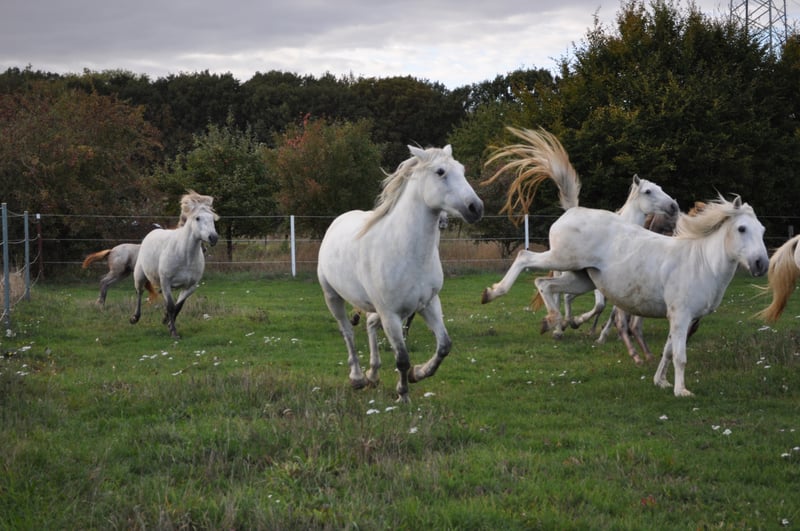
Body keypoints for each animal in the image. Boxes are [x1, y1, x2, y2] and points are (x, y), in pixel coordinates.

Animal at [130, 191, 219, 338]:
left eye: (212, 218)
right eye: (197, 218)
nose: (213, 238)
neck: (185, 257)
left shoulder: (190, 286)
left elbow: (178, 306)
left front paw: (166, 320)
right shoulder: (166, 282)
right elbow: (171, 306)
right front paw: (174, 332)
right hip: (140, 276)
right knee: (139, 293)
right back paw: (134, 318)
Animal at [318, 145, 483, 403]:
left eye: (462, 169)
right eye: (440, 172)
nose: (476, 208)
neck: (406, 250)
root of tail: (337, 221)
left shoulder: (428, 303)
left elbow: (444, 346)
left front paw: (419, 373)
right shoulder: (391, 315)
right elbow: (402, 358)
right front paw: (403, 395)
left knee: (369, 325)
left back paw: (373, 375)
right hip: (332, 296)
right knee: (348, 332)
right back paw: (357, 378)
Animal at [481, 128, 768, 396]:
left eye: (763, 230)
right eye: (742, 229)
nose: (760, 264)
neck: (701, 263)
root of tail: (573, 209)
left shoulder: (682, 319)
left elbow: (667, 351)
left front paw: (660, 381)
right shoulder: (680, 315)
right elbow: (679, 355)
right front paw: (681, 390)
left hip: (581, 278)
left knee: (546, 285)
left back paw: (554, 321)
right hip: (561, 258)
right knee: (525, 258)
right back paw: (495, 294)